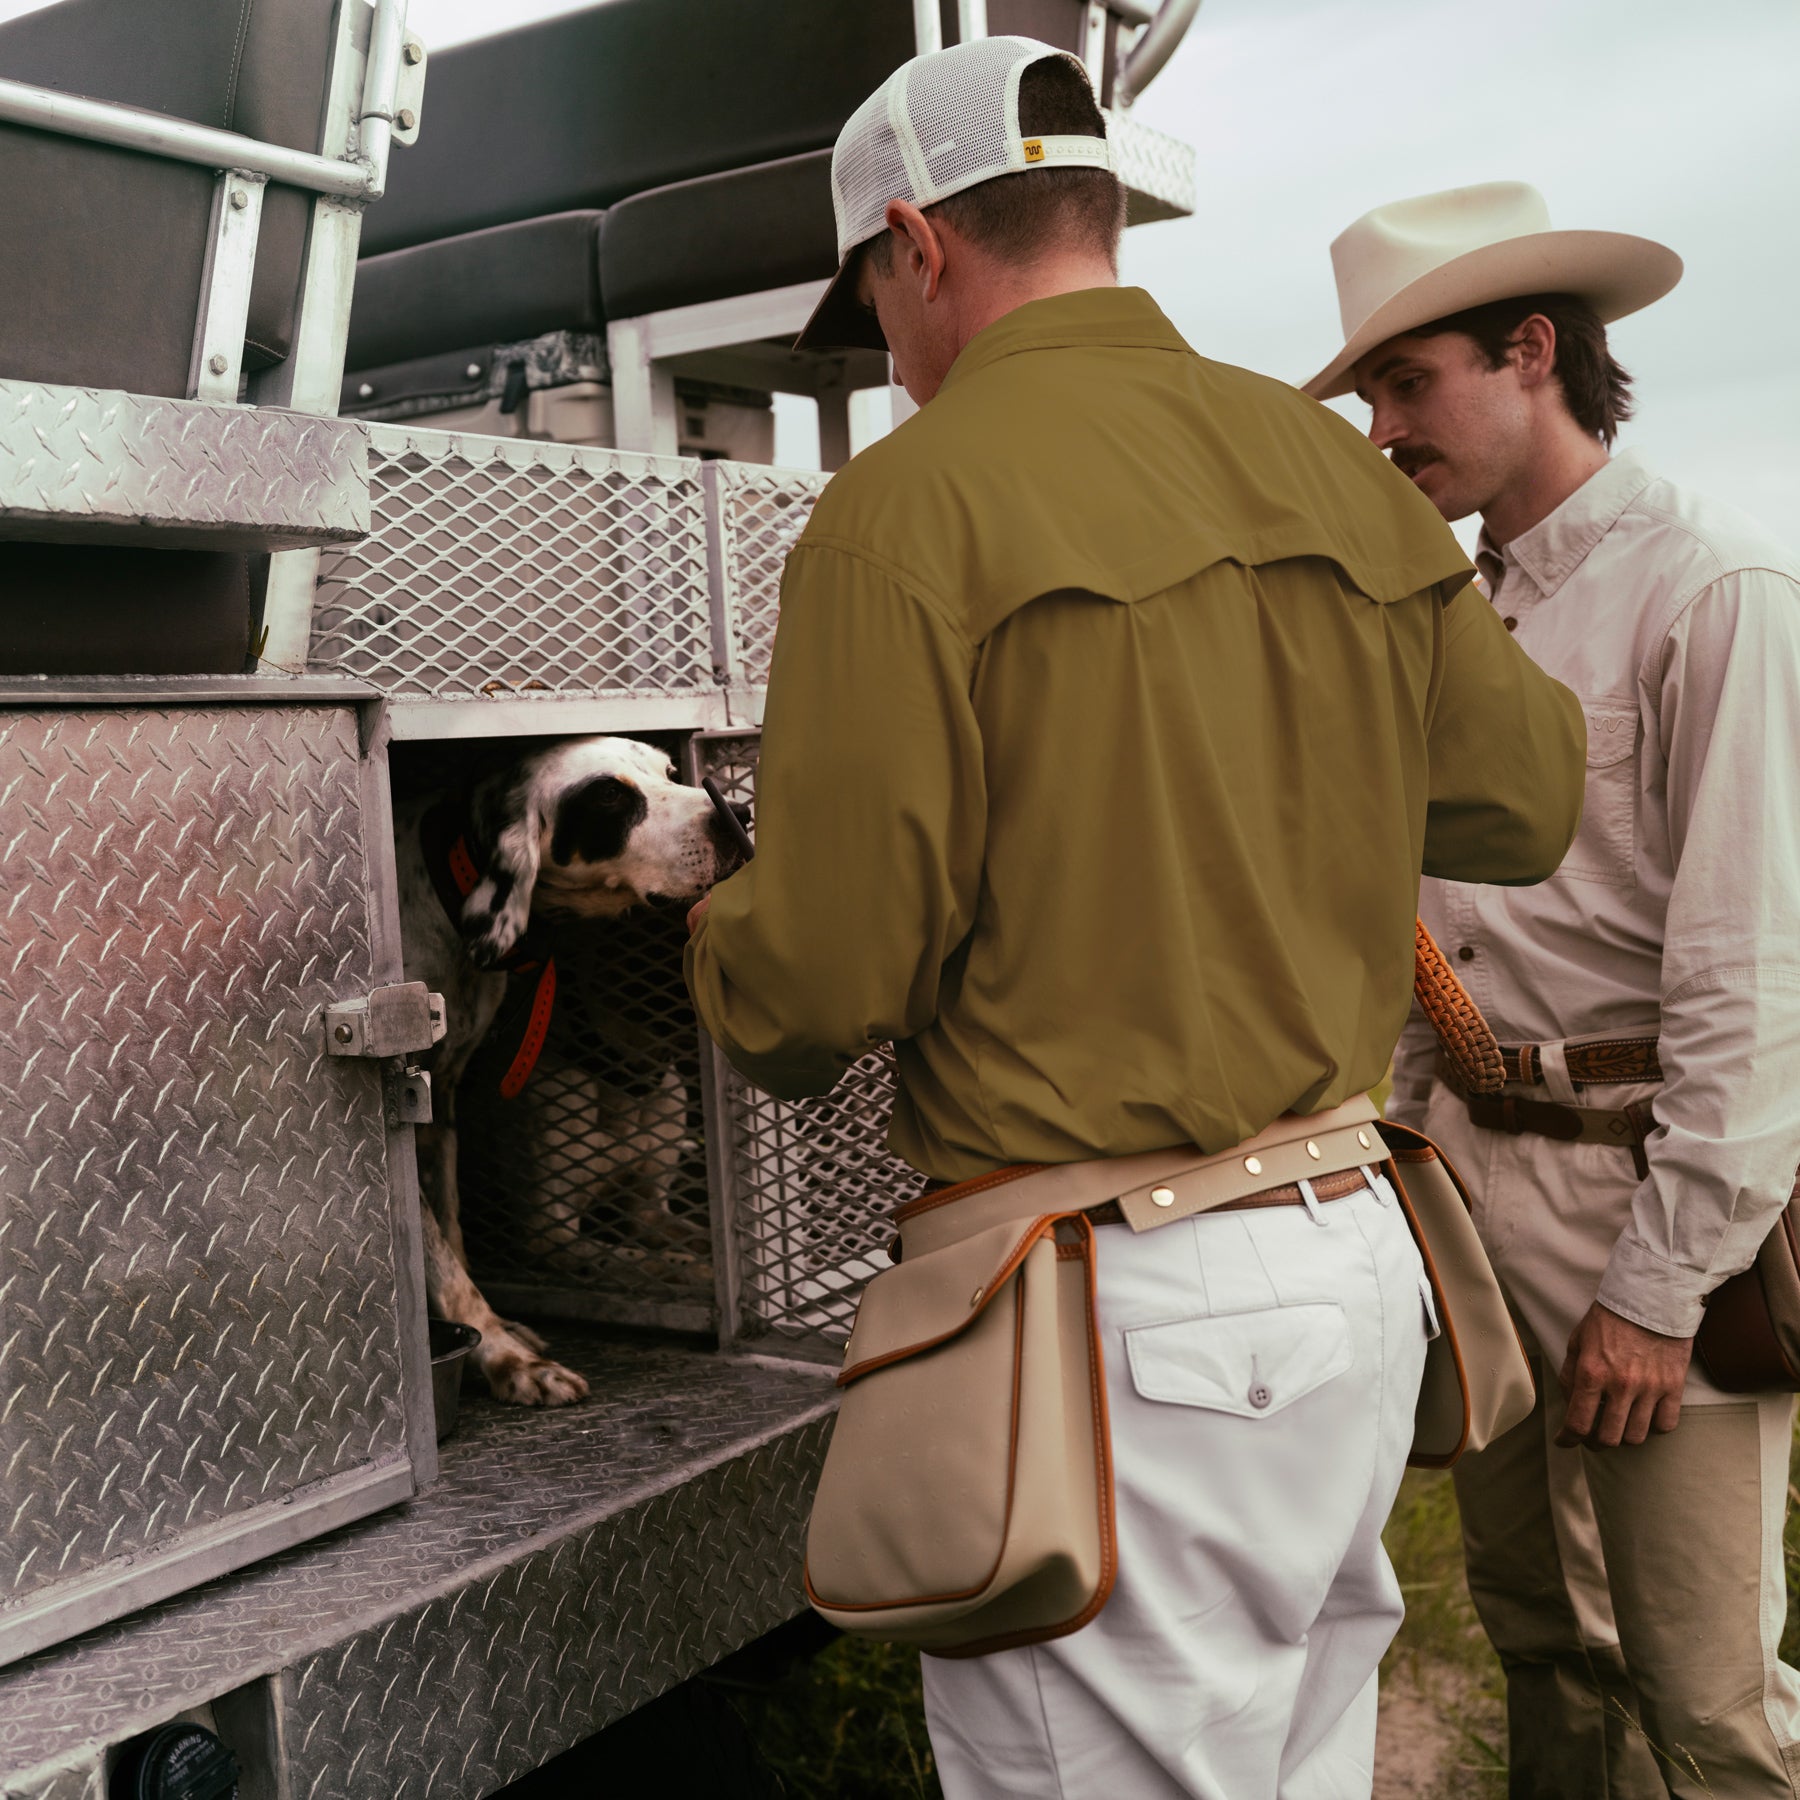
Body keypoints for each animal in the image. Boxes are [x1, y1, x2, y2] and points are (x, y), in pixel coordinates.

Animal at [397, 734, 748, 1404]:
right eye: (607, 795)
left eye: (670, 771)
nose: (739, 818)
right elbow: (445, 1267)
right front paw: (508, 1361)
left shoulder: (441, 1108)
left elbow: (453, 1234)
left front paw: (496, 1335)